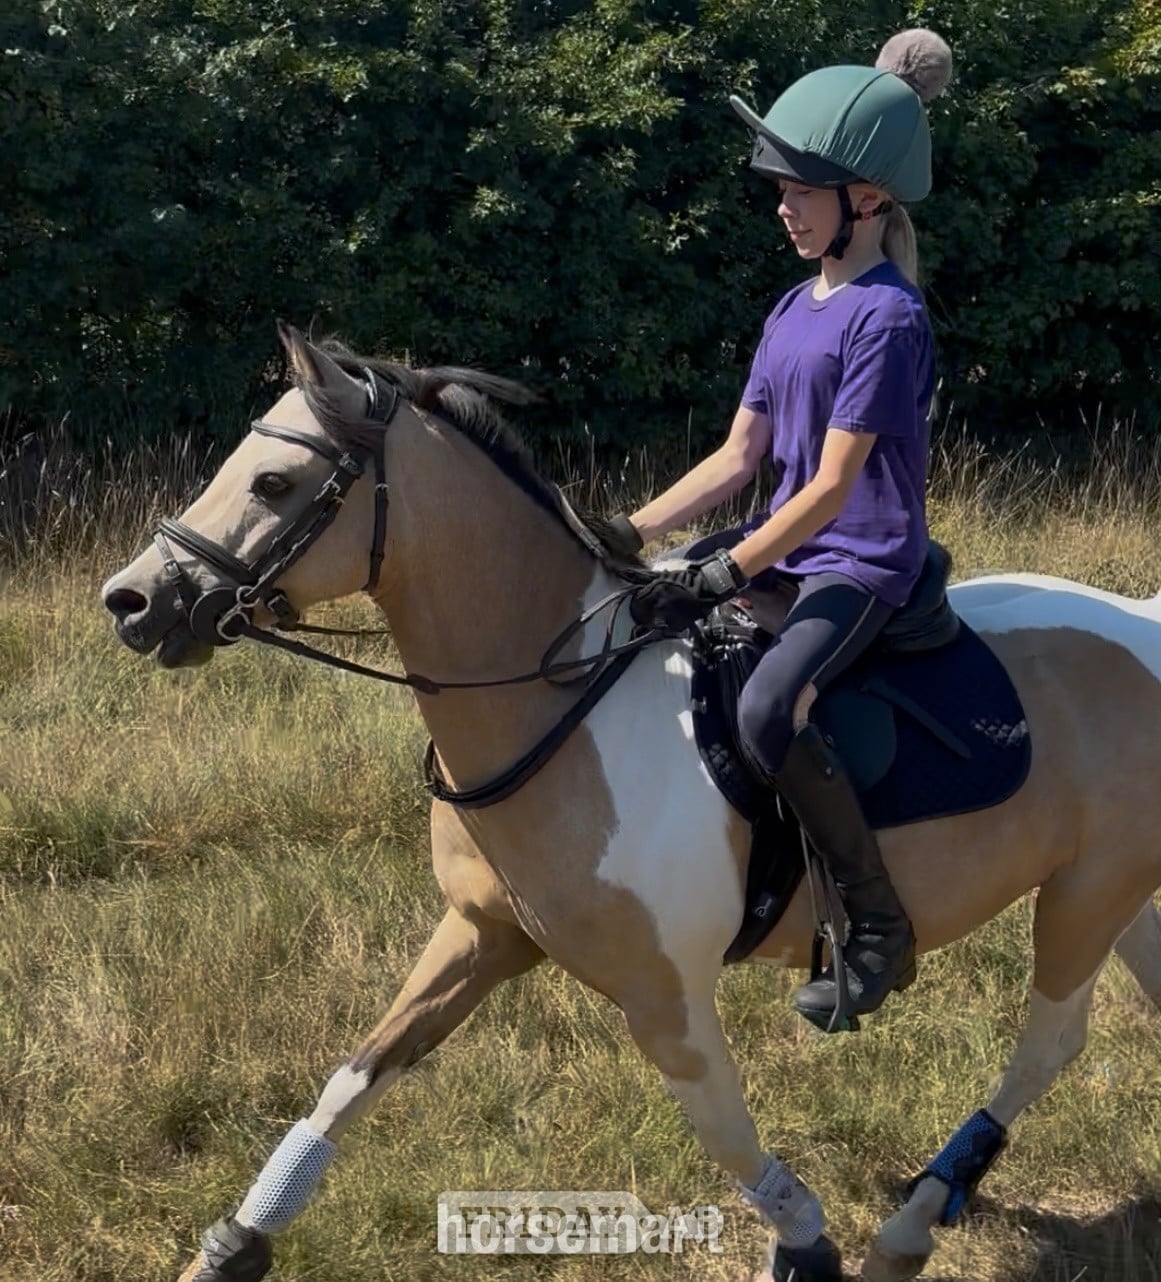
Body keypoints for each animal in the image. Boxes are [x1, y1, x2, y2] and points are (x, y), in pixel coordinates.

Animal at [101, 324, 1161, 1282]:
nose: (132, 602)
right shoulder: (480, 934)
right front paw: (232, 1246)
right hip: (1121, 895)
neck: (559, 712)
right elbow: (352, 1078)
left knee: (1049, 1043)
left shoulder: (664, 997)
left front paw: (806, 1242)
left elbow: (727, 1136)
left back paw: (908, 1228)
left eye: (274, 486)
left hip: (1087, 893)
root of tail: (1142, 621)